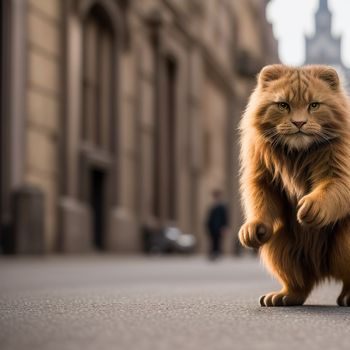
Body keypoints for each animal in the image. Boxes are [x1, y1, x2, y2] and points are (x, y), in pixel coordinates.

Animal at [239, 64, 350, 304]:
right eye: (283, 105)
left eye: (314, 105)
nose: (299, 123)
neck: (297, 154)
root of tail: (322, 270)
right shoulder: (262, 174)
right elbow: (260, 197)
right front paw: (252, 228)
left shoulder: (341, 167)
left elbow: (335, 186)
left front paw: (312, 208)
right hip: (279, 245)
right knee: (300, 284)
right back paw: (282, 297)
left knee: (346, 280)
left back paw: (349, 297)